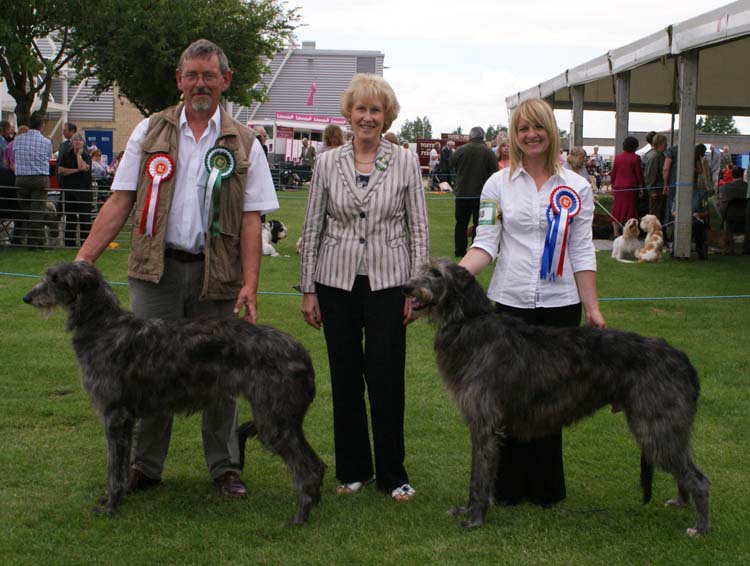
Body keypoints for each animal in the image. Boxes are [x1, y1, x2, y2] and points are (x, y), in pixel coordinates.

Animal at [22, 264, 324, 524]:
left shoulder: (114, 416)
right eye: (48, 275)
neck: (103, 325)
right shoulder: (126, 418)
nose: (27, 297)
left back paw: (299, 517)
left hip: (274, 419)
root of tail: (302, 352)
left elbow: (113, 469)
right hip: (281, 418)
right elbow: (121, 465)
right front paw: (119, 496)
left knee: (308, 468)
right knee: (318, 464)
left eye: (57, 279)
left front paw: (110, 505)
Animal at [406, 260, 712, 540]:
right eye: (422, 267)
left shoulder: (485, 424)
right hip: (664, 426)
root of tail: (683, 361)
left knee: (700, 479)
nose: (407, 288)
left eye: (436, 273)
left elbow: (480, 477)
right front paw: (467, 510)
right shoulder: (481, 425)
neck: (468, 322)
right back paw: (682, 501)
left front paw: (475, 519)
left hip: (655, 425)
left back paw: (700, 526)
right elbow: (476, 475)